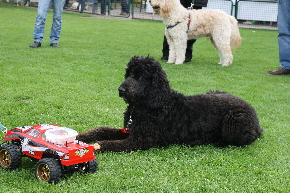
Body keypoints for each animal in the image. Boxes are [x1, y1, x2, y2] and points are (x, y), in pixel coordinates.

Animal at [76, 55, 262, 152]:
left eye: (141, 77)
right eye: (128, 74)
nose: (121, 90)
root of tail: (256, 120)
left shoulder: (140, 140)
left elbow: (109, 143)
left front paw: (94, 146)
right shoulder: (129, 130)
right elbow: (103, 130)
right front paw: (83, 136)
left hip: (234, 121)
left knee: (244, 139)